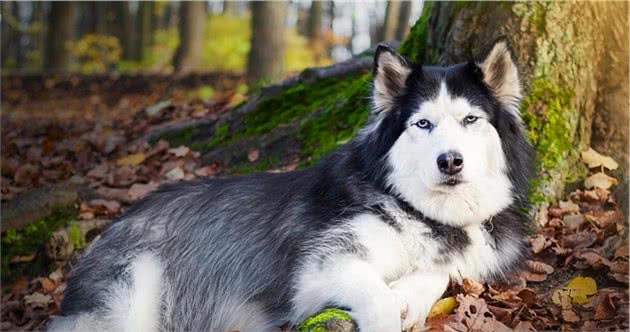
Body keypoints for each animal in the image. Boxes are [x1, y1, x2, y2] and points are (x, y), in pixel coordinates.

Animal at [49, 39, 536, 332]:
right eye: (423, 124)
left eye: (470, 119)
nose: (449, 161)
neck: (421, 212)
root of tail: (113, 225)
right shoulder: (318, 269)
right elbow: (377, 299)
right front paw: (392, 301)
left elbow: (439, 272)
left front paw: (410, 294)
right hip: (128, 299)